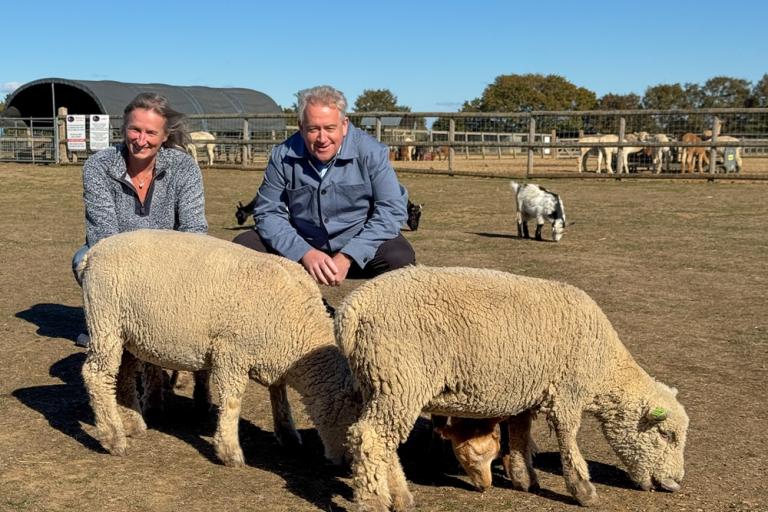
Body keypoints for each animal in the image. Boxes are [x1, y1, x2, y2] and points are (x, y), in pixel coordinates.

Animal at [79, 229, 360, 467]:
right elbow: (232, 400)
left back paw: (132, 423)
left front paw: (288, 435)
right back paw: (112, 437)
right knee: (96, 375)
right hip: (105, 320)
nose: (348, 464)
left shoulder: (273, 354)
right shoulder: (231, 353)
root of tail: (95, 251)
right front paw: (229, 452)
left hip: (127, 334)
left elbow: (279, 395)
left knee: (123, 375)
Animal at [336, 265, 689, 510]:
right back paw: (374, 502)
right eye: (665, 435)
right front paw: (583, 491)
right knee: (368, 438)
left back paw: (401, 496)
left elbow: (519, 436)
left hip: (378, 384)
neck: (604, 367)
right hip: (400, 380)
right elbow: (568, 441)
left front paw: (524, 479)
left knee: (382, 443)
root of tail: (352, 311)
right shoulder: (568, 392)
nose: (674, 484)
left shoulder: (527, 392)